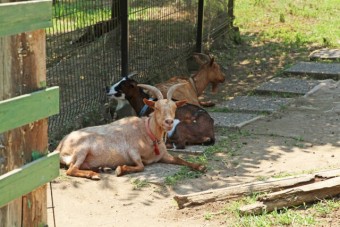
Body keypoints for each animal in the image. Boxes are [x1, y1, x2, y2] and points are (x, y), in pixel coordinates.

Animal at [56, 83, 205, 179]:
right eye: (156, 108)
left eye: (174, 108)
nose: (169, 122)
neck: (147, 133)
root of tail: (60, 146)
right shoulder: (132, 151)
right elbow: (141, 166)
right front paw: (120, 169)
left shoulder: (164, 155)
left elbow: (180, 159)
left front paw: (199, 166)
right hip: (82, 150)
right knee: (72, 170)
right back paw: (94, 174)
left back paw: (101, 168)